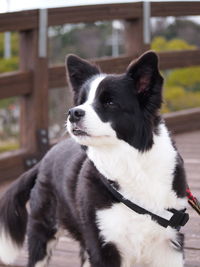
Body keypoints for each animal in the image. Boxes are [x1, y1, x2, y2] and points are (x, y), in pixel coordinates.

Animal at [0, 51, 188, 266]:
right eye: (80, 101)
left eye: (109, 102)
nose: (73, 113)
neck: (129, 164)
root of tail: (44, 159)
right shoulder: (103, 244)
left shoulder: (168, 245)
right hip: (43, 230)